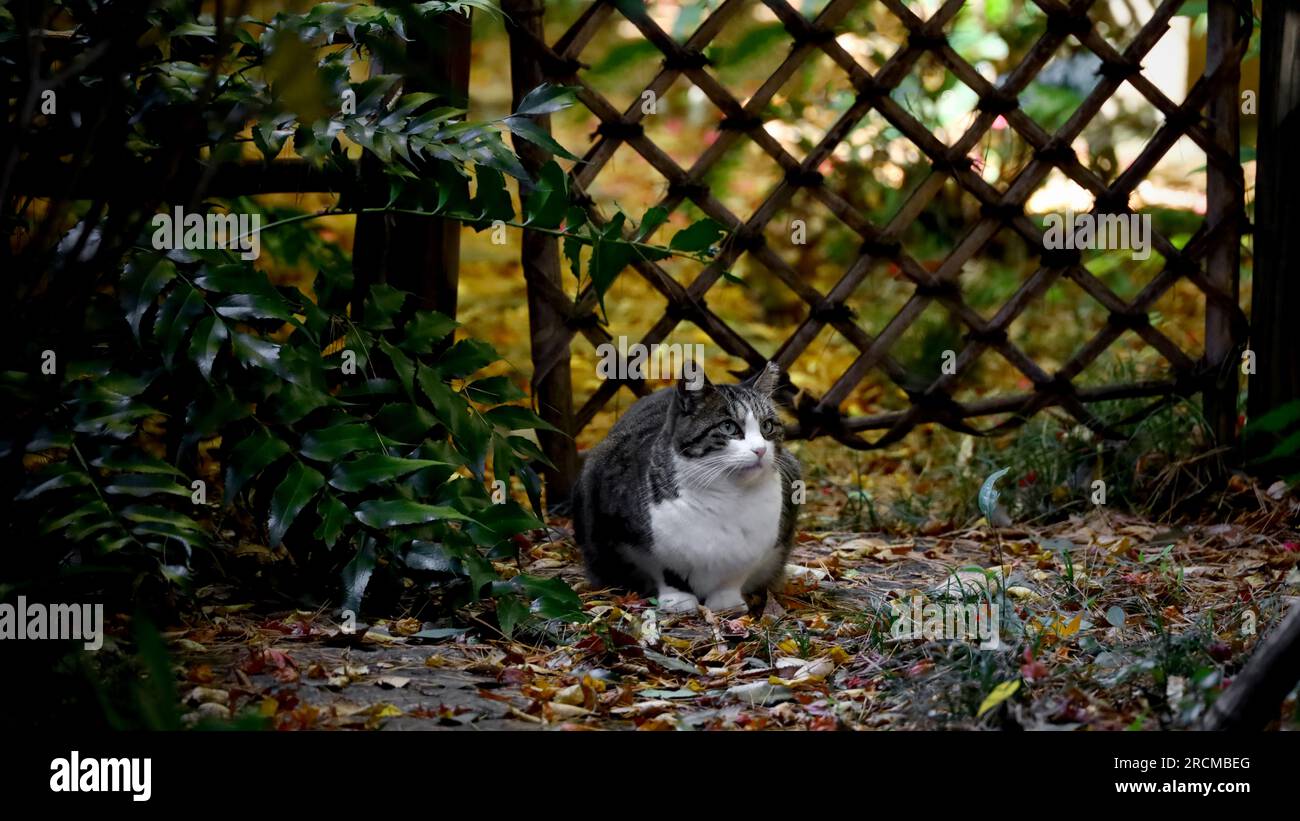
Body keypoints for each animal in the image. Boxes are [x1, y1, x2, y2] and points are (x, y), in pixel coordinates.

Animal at [572, 361, 795, 613]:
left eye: (767, 426)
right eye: (728, 427)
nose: (760, 450)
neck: (730, 496)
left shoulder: (756, 547)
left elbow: (734, 576)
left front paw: (727, 602)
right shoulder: (640, 544)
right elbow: (665, 570)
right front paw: (678, 600)